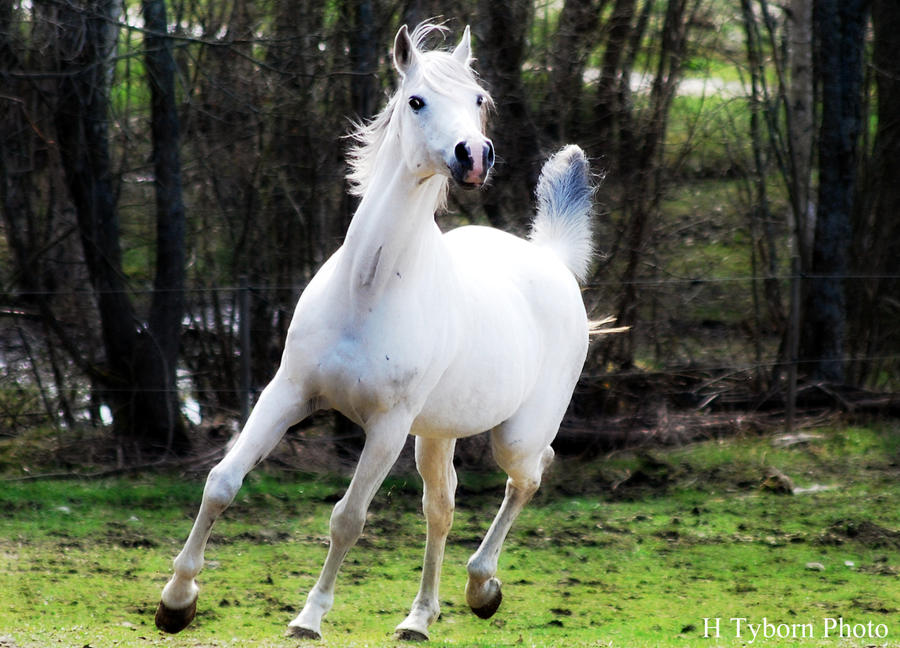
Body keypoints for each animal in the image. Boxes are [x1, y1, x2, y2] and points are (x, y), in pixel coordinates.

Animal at [158, 22, 596, 640]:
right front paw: (176, 601)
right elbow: (222, 482)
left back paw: (482, 587)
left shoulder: (386, 427)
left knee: (530, 475)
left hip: (513, 435)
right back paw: (419, 618)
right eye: (416, 101)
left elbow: (348, 518)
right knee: (442, 508)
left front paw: (309, 617)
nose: (474, 156)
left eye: (478, 101)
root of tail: (552, 260)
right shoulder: (288, 392)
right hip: (436, 434)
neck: (368, 289)